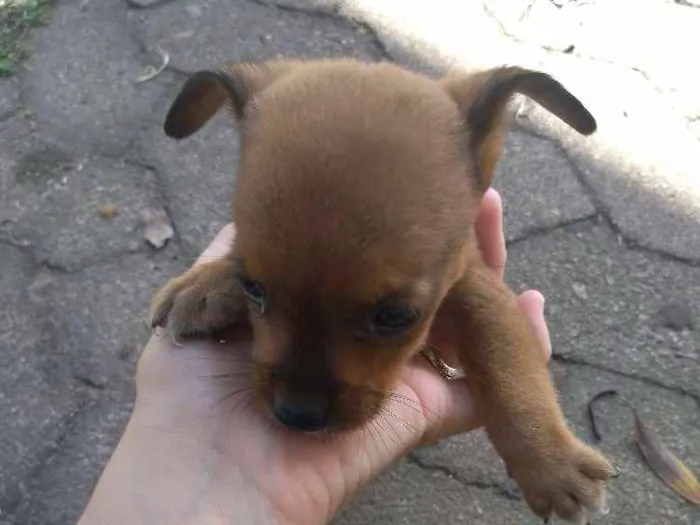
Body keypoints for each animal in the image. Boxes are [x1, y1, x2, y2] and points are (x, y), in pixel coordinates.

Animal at [152, 58, 612, 520]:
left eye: (395, 317)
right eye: (252, 287)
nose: (295, 415)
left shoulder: (472, 281)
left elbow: (504, 359)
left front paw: (552, 465)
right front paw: (205, 283)